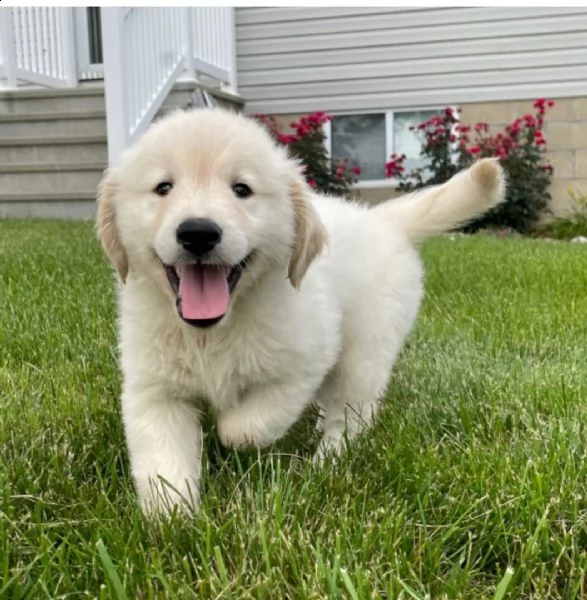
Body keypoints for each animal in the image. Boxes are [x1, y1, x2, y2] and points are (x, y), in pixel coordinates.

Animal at [96, 108, 506, 516]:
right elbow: (161, 459)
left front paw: (229, 428)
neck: (212, 331)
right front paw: (171, 518)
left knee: (352, 415)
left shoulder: (303, 364)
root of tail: (381, 220)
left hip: (363, 352)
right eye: (163, 187)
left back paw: (327, 462)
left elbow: (249, 426)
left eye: (241, 189)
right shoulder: (154, 391)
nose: (198, 232)